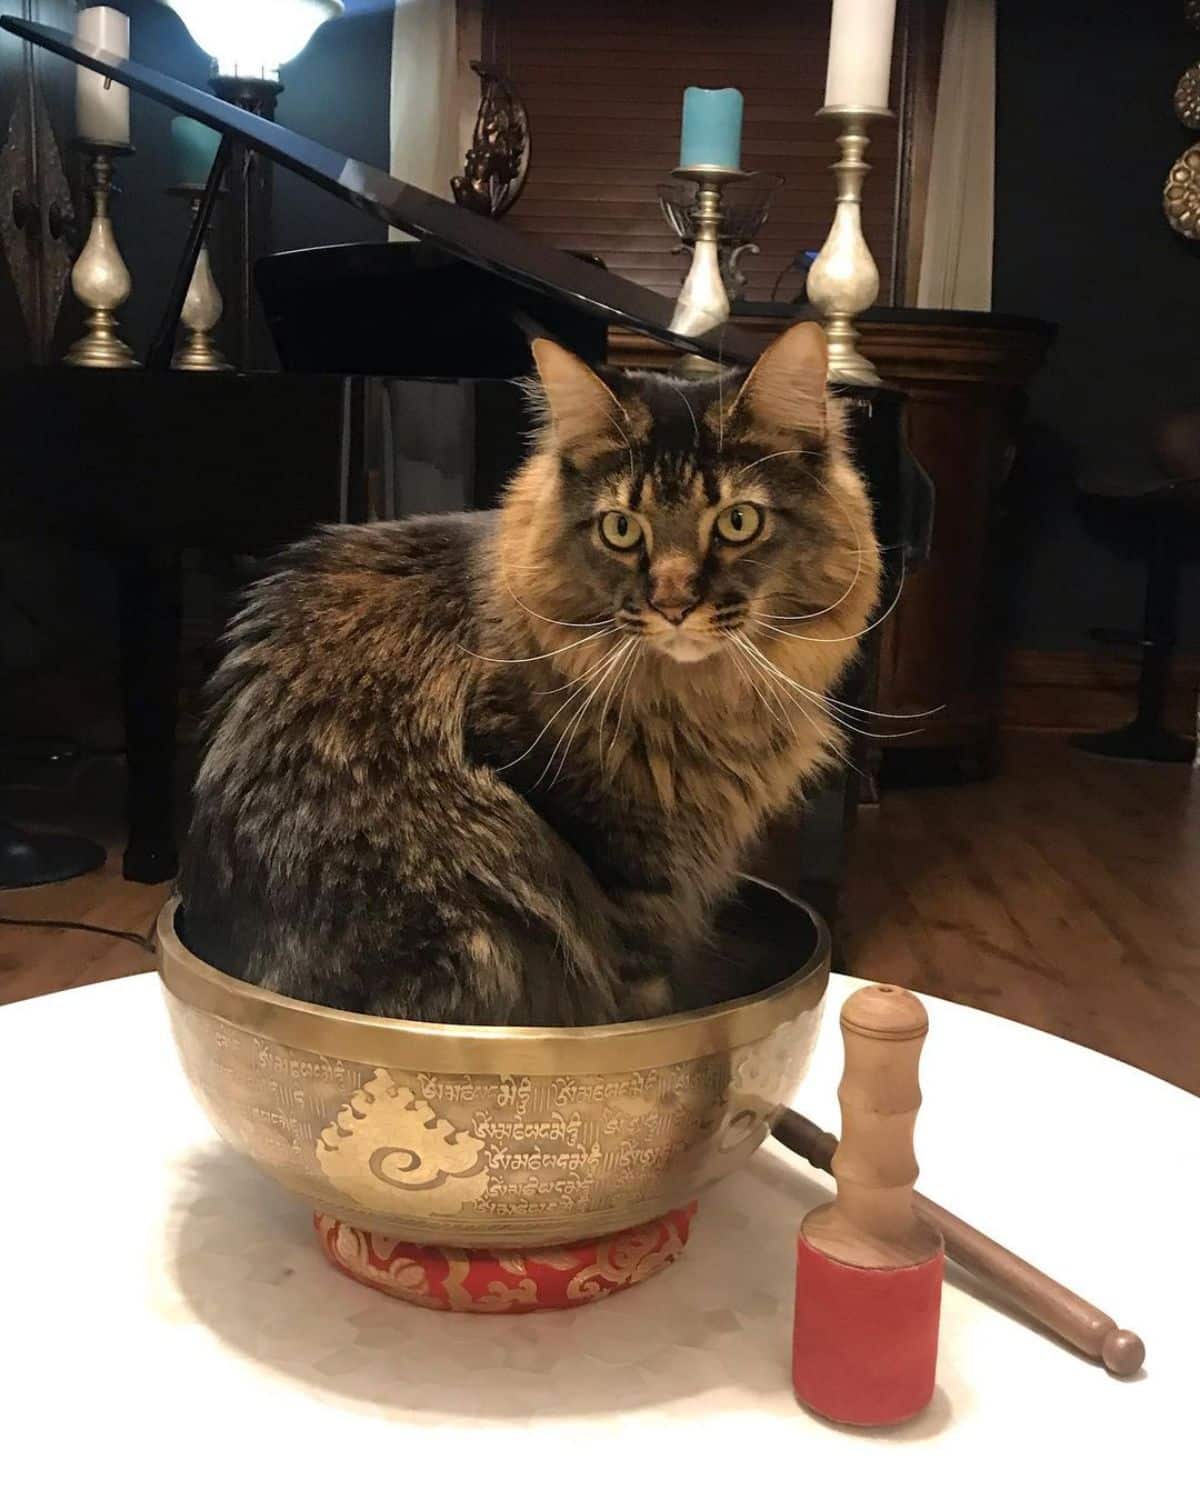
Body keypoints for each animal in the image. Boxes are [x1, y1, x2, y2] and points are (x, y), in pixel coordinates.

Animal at [185, 325, 882, 1032]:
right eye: (621, 529)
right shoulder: (619, 862)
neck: (698, 701)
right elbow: (640, 994)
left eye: (739, 522)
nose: (672, 604)